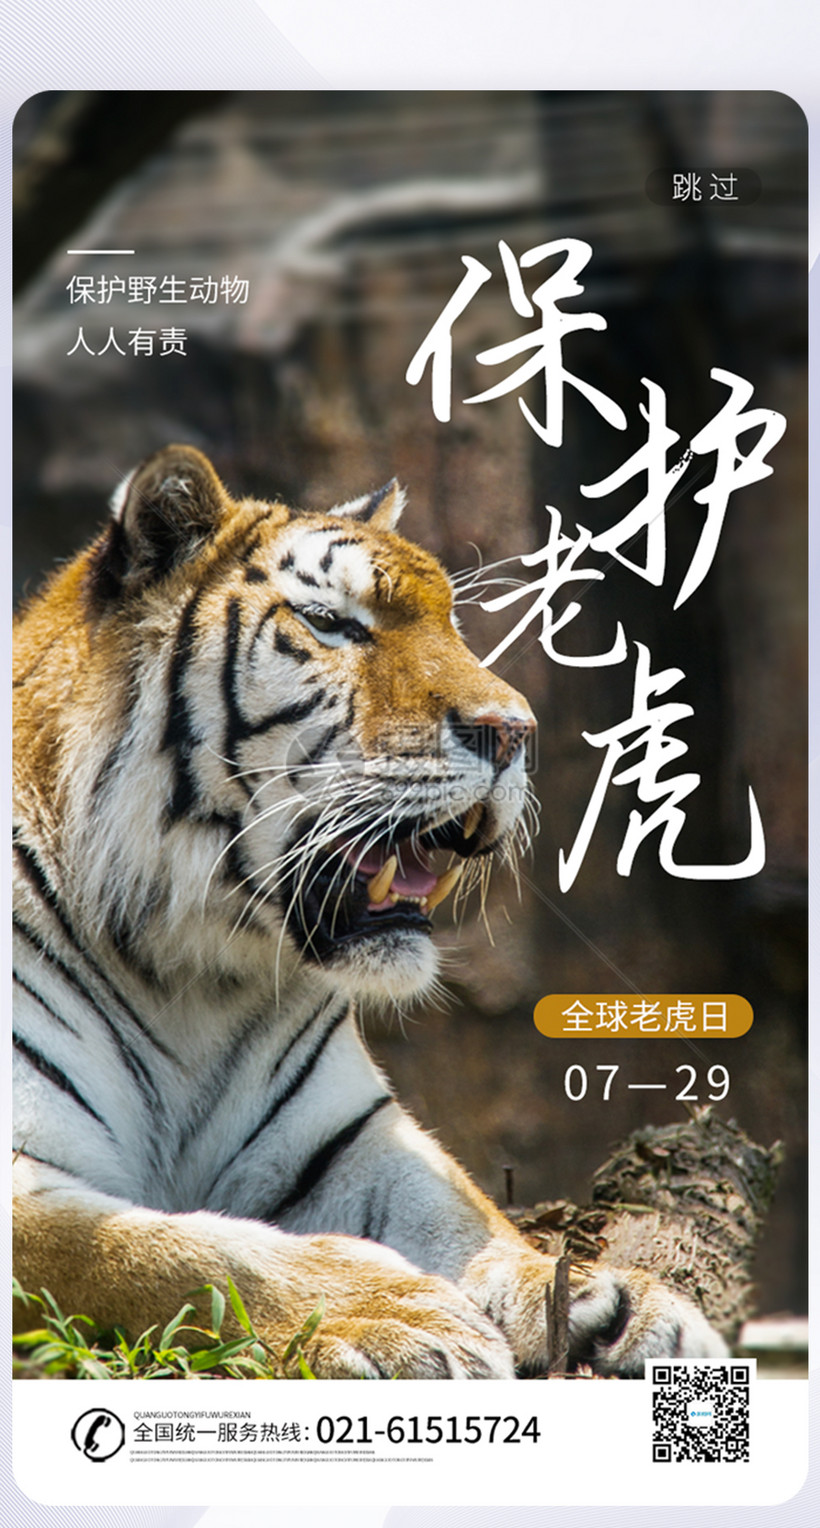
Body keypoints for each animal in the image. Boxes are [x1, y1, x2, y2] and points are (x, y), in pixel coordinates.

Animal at [12, 444, 726, 1378]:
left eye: (452, 623)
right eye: (330, 622)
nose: (515, 732)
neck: (189, 974)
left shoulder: (348, 1137)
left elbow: (465, 1214)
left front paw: (608, 1306)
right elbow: (180, 1251)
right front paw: (398, 1314)